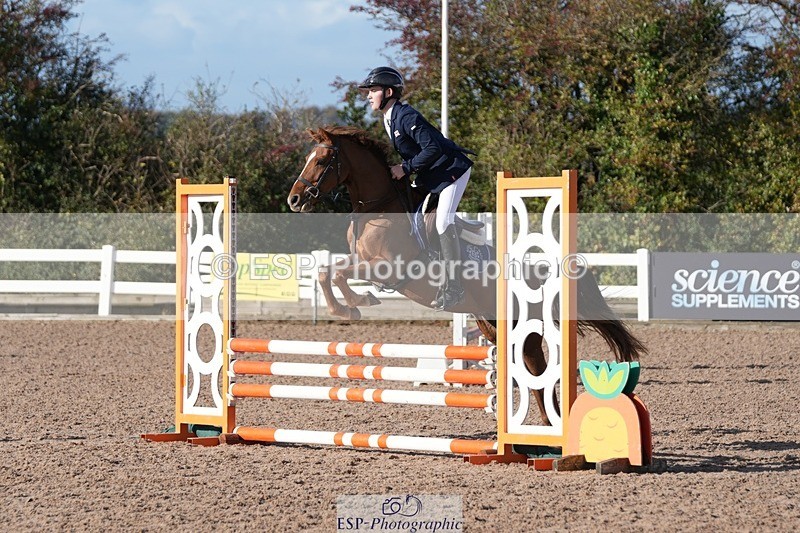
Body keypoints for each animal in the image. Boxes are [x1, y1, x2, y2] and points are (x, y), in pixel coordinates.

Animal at [287, 126, 647, 425]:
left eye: (322, 161)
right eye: (307, 159)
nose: (294, 199)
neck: (378, 207)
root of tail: (535, 274)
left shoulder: (387, 267)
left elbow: (337, 275)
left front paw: (356, 303)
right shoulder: (360, 259)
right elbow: (326, 271)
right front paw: (348, 306)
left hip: (522, 329)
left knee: (538, 372)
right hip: (493, 326)